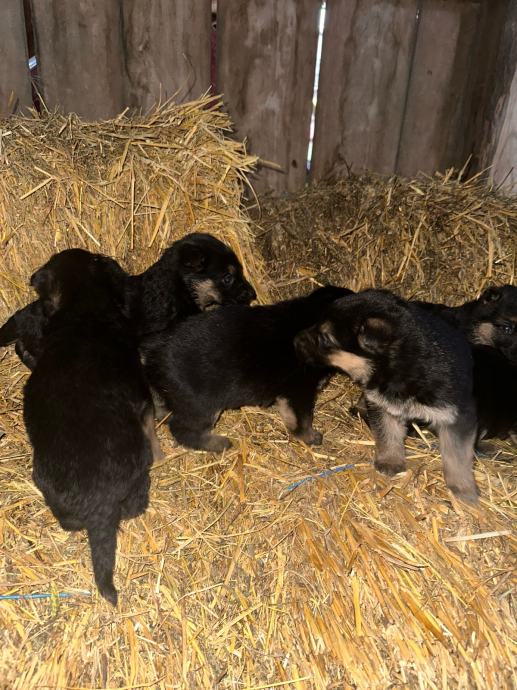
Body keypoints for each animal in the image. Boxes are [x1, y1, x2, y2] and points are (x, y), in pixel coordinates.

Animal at [140, 286, 352, 452]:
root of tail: (153, 348)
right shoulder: (300, 390)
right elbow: (303, 419)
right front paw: (310, 437)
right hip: (201, 404)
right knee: (184, 429)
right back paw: (218, 443)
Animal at [295, 289, 479, 503]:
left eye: (326, 338)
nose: (296, 340)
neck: (400, 364)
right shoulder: (381, 404)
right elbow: (387, 434)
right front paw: (390, 461)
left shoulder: (457, 414)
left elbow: (457, 455)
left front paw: (463, 488)